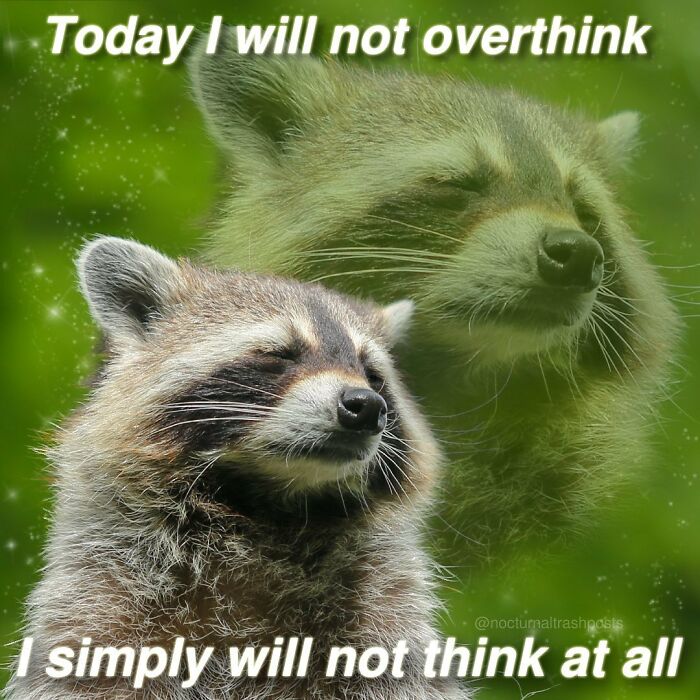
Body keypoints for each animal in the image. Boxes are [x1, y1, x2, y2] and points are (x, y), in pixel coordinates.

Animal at [7, 237, 467, 700]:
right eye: (279, 355)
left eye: (372, 375)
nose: (366, 406)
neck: (268, 506)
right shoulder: (103, 593)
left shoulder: (382, 609)